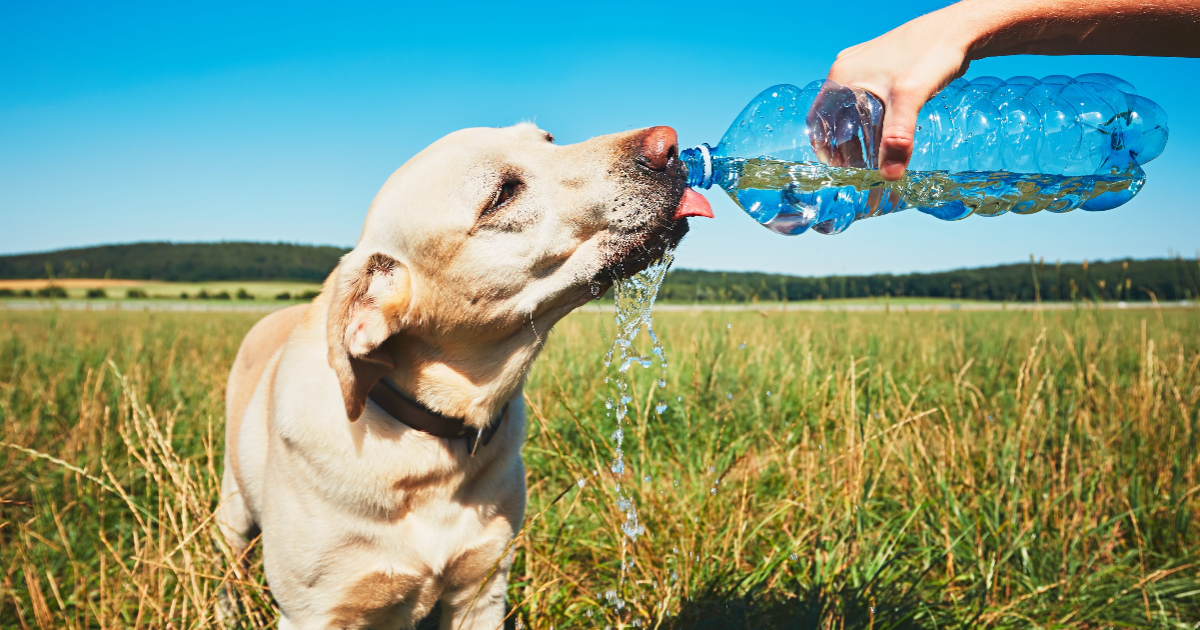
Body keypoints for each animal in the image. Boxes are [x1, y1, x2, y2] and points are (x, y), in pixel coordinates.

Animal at [217, 120, 710, 624]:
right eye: (502, 194)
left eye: (548, 140)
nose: (669, 144)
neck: (432, 444)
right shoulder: (315, 612)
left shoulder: (483, 588)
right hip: (232, 510)